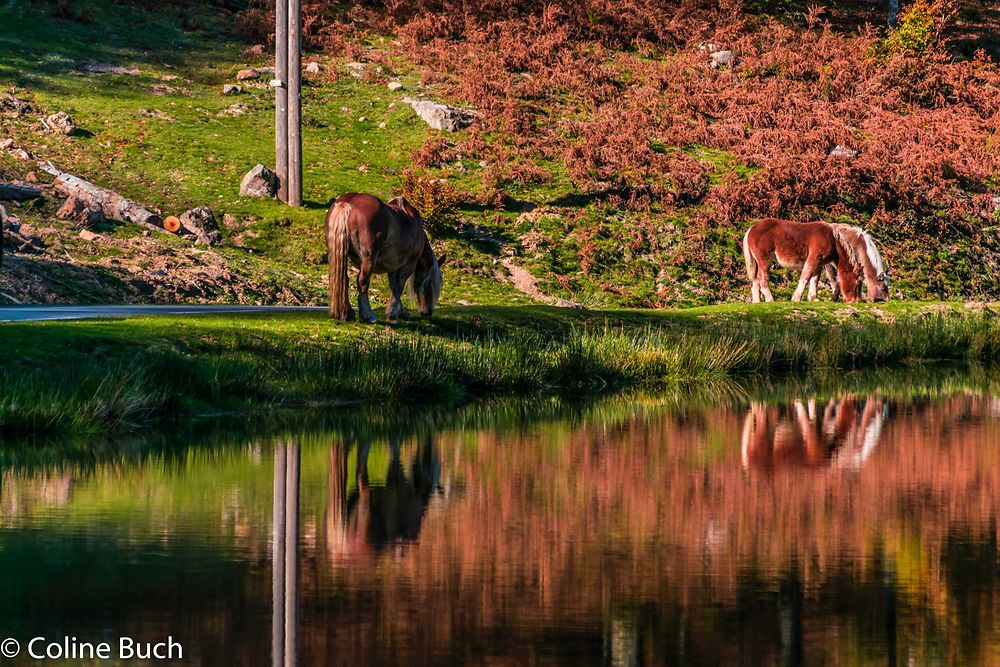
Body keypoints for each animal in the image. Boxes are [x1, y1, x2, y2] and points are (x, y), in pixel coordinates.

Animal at [326, 193, 448, 324]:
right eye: (433, 283)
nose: (428, 311)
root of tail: (346, 202)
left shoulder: (393, 267)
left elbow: (394, 287)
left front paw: (400, 311)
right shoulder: (408, 265)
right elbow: (398, 287)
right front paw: (393, 315)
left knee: (344, 279)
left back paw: (347, 313)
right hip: (369, 259)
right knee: (362, 282)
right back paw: (368, 315)